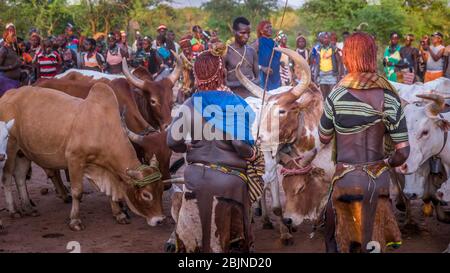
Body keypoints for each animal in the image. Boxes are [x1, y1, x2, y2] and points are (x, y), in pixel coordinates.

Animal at [0, 83, 165, 230]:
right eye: (146, 194)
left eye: (161, 189)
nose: (159, 220)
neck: (102, 128)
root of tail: (7, 94)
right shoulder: (74, 159)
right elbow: (77, 192)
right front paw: (75, 221)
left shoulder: (107, 168)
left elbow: (110, 191)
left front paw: (119, 214)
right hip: (10, 150)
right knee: (7, 178)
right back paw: (14, 211)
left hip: (23, 153)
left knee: (20, 178)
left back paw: (29, 207)